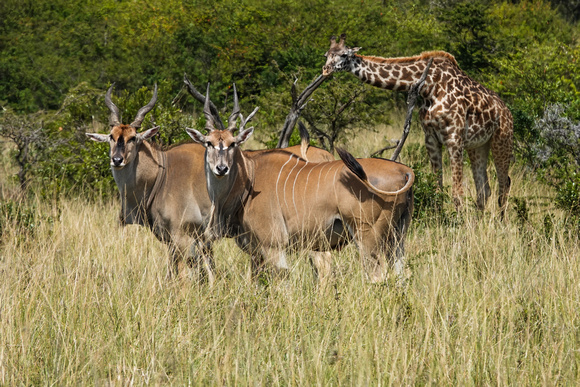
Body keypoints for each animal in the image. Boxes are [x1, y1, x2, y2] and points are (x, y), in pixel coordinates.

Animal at [322, 33, 512, 217]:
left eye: (344, 55)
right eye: (327, 55)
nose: (325, 70)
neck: (430, 87)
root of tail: (507, 111)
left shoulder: (454, 139)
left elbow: (457, 192)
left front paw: (460, 225)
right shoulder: (431, 138)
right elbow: (437, 189)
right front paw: (440, 221)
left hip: (501, 140)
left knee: (504, 184)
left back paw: (500, 222)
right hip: (478, 146)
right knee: (484, 189)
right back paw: (480, 222)